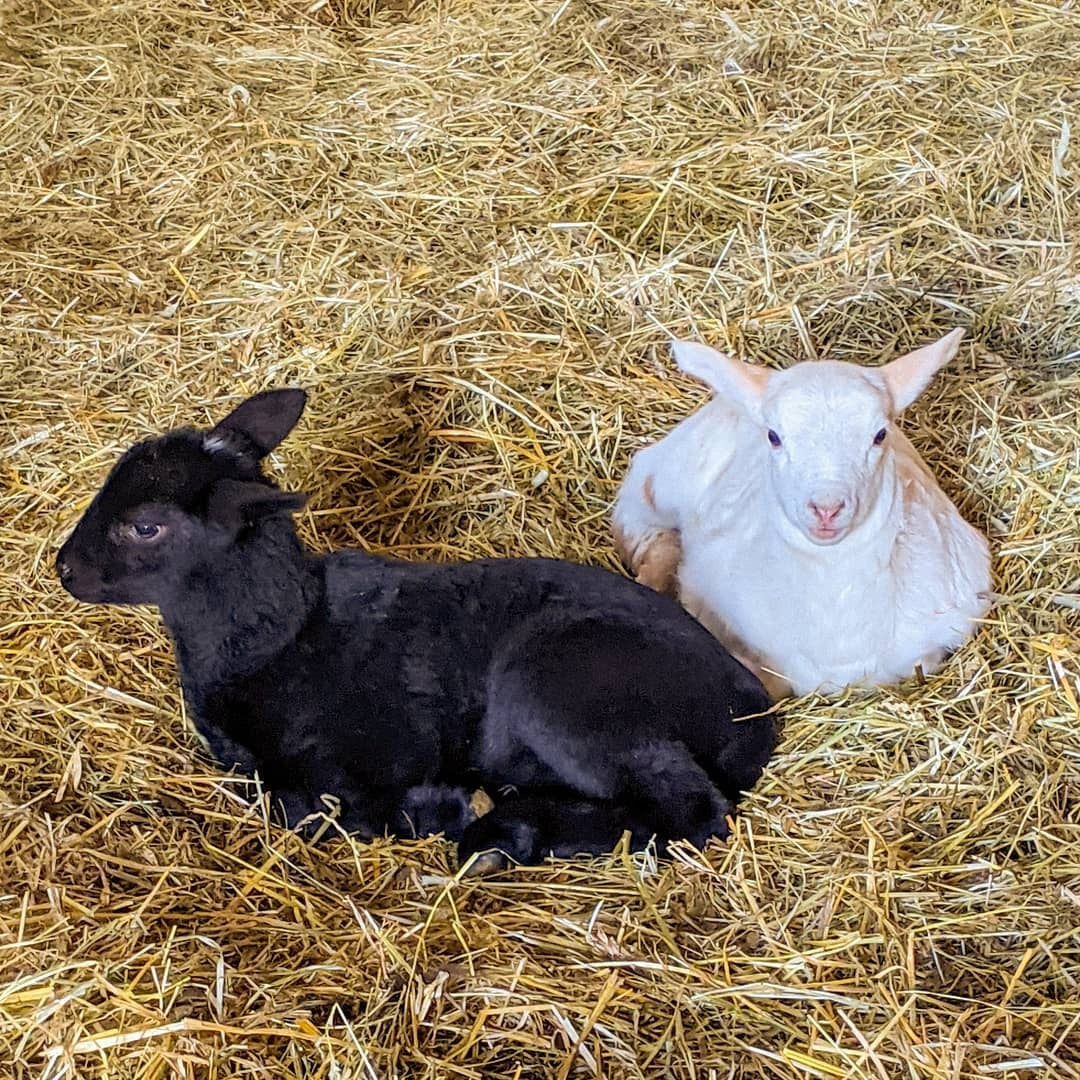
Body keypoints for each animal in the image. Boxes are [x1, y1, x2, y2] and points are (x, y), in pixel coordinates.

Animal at [56, 389, 777, 870]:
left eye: (146, 525)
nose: (65, 568)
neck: (278, 642)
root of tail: (751, 710)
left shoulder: (367, 756)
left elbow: (308, 806)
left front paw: (439, 806)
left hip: (569, 689)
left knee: (692, 809)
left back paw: (504, 836)